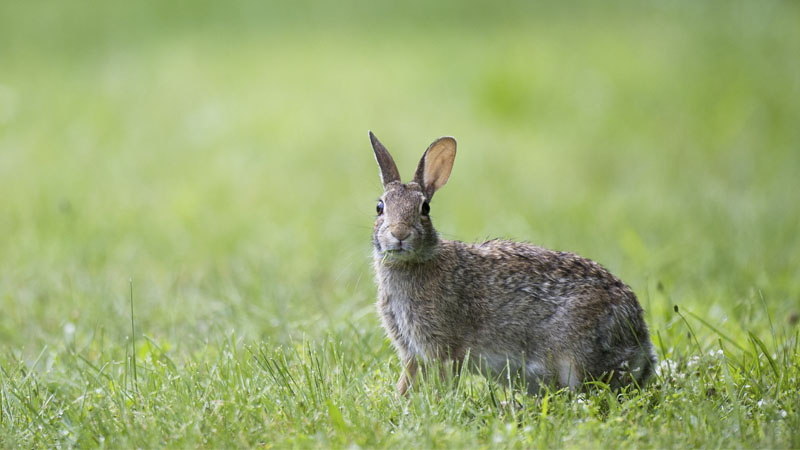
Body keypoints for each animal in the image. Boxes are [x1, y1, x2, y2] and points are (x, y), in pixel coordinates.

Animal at [368, 131, 658, 396]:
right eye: (380, 207)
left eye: (425, 209)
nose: (400, 233)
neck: (413, 262)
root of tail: (640, 344)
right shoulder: (411, 351)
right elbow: (407, 379)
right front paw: (399, 402)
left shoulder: (442, 347)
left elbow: (443, 380)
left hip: (576, 356)